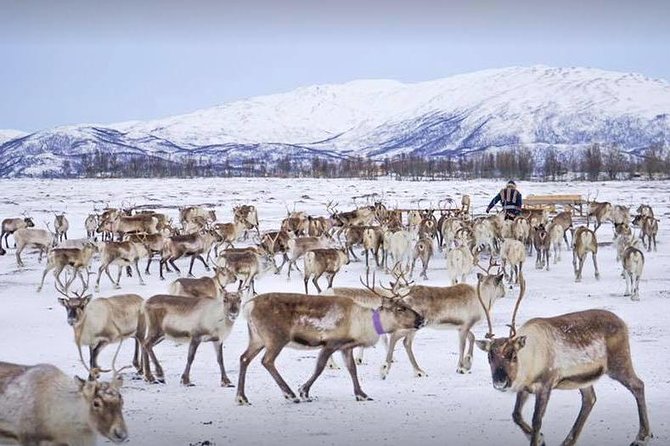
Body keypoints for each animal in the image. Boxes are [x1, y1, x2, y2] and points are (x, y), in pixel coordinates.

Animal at [235, 286, 424, 405]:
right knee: (267, 361)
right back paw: (290, 394)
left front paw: (361, 395)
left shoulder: (346, 347)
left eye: (407, 305)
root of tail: (248, 306)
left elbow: (352, 369)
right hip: (275, 338)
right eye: (400, 308)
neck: (364, 322)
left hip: (257, 338)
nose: (421, 319)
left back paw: (241, 397)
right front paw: (304, 391)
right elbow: (319, 367)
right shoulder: (331, 343)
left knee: (244, 358)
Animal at [475, 272, 652, 446]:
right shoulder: (525, 387)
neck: (529, 361)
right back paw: (568, 441)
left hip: (619, 362)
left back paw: (641, 437)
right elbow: (516, 414)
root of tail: (623, 323)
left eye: (513, 355)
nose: (500, 382)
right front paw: (540, 438)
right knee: (590, 399)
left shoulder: (546, 384)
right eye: (489, 356)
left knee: (638, 385)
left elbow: (537, 420)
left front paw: (538, 438)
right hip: (584, 378)